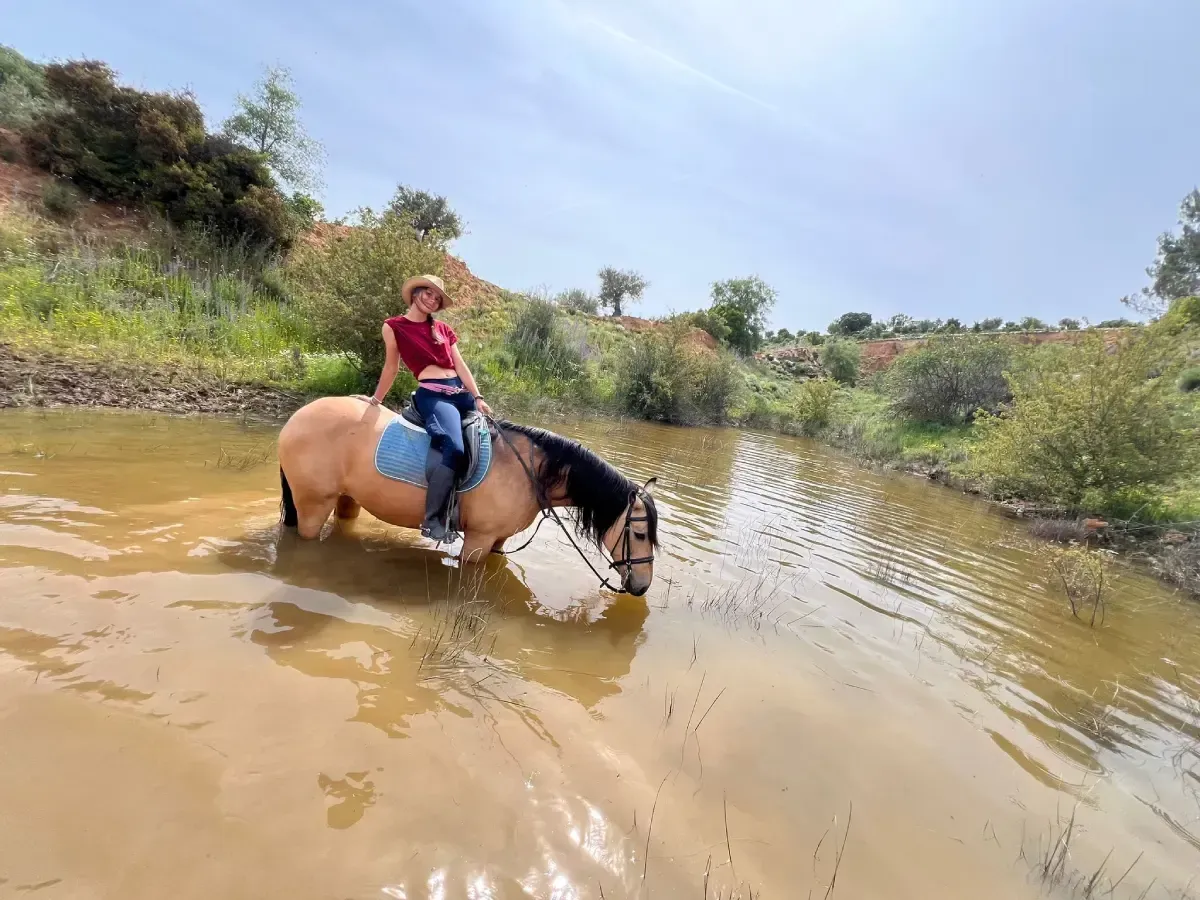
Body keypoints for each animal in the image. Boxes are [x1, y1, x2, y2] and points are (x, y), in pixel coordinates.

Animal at [275, 396, 659, 595]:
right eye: (640, 534)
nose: (642, 587)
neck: (528, 469)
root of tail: (297, 417)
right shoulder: (478, 540)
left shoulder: (498, 540)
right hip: (312, 505)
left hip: (347, 500)